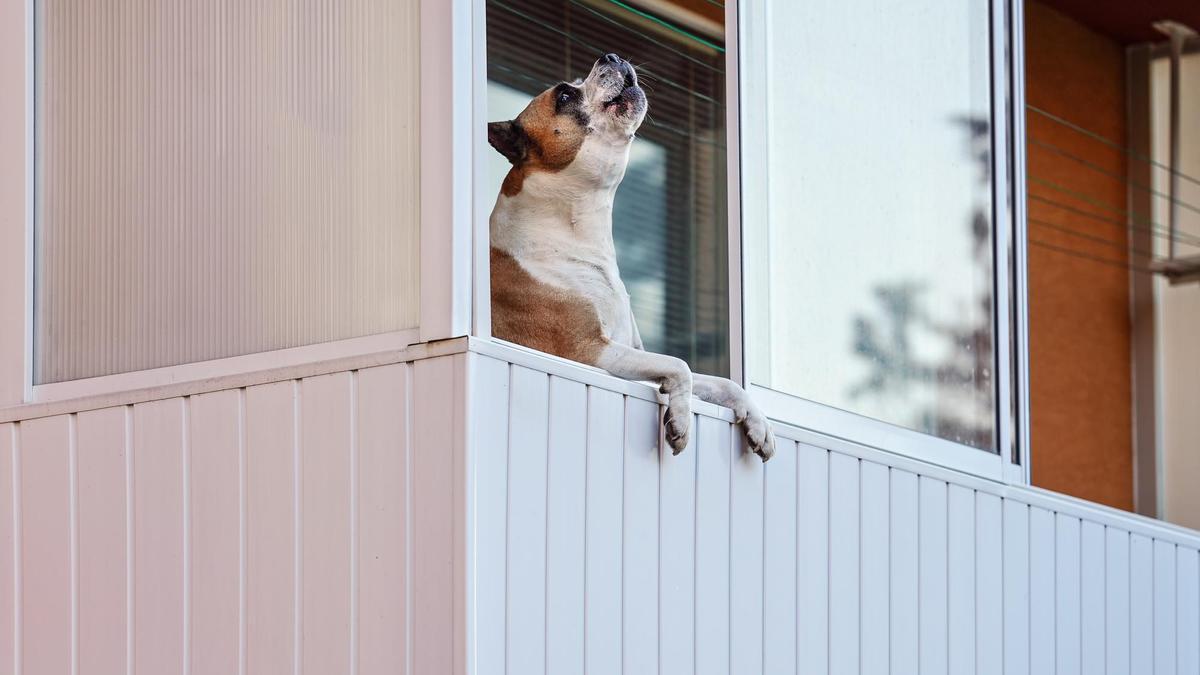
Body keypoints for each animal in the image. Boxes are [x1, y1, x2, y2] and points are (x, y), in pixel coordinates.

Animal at [487, 55, 777, 458]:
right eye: (564, 95)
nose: (611, 57)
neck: (575, 229)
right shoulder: (590, 351)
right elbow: (680, 365)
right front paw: (681, 419)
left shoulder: (630, 352)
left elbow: (722, 382)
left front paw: (759, 422)